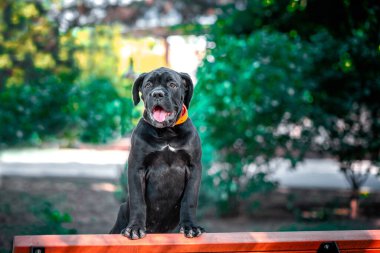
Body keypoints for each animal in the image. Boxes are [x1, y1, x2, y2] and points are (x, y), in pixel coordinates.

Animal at [110, 66, 205, 239]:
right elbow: (138, 200)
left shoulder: (194, 167)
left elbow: (189, 200)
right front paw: (135, 228)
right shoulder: (137, 168)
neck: (166, 132)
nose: (157, 94)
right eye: (148, 85)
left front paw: (190, 226)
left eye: (173, 85)